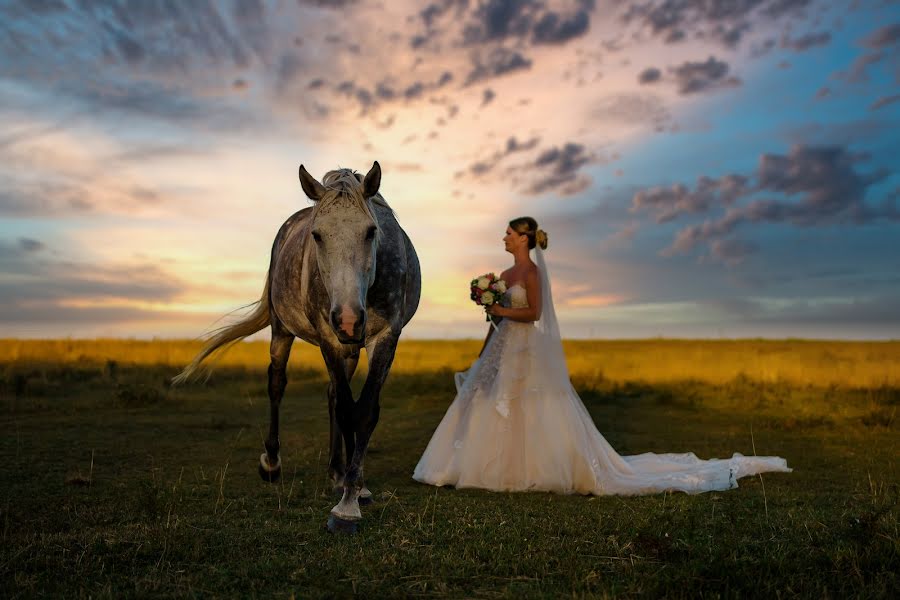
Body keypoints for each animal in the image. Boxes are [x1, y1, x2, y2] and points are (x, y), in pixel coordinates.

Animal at [175, 162, 422, 532]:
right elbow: (348, 409)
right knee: (277, 384)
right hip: (284, 330)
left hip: (348, 347)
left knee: (334, 395)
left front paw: (354, 491)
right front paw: (346, 503)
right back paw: (272, 463)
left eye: (370, 231)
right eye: (317, 235)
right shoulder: (328, 337)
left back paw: (338, 471)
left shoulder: (385, 337)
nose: (348, 319)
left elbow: (363, 411)